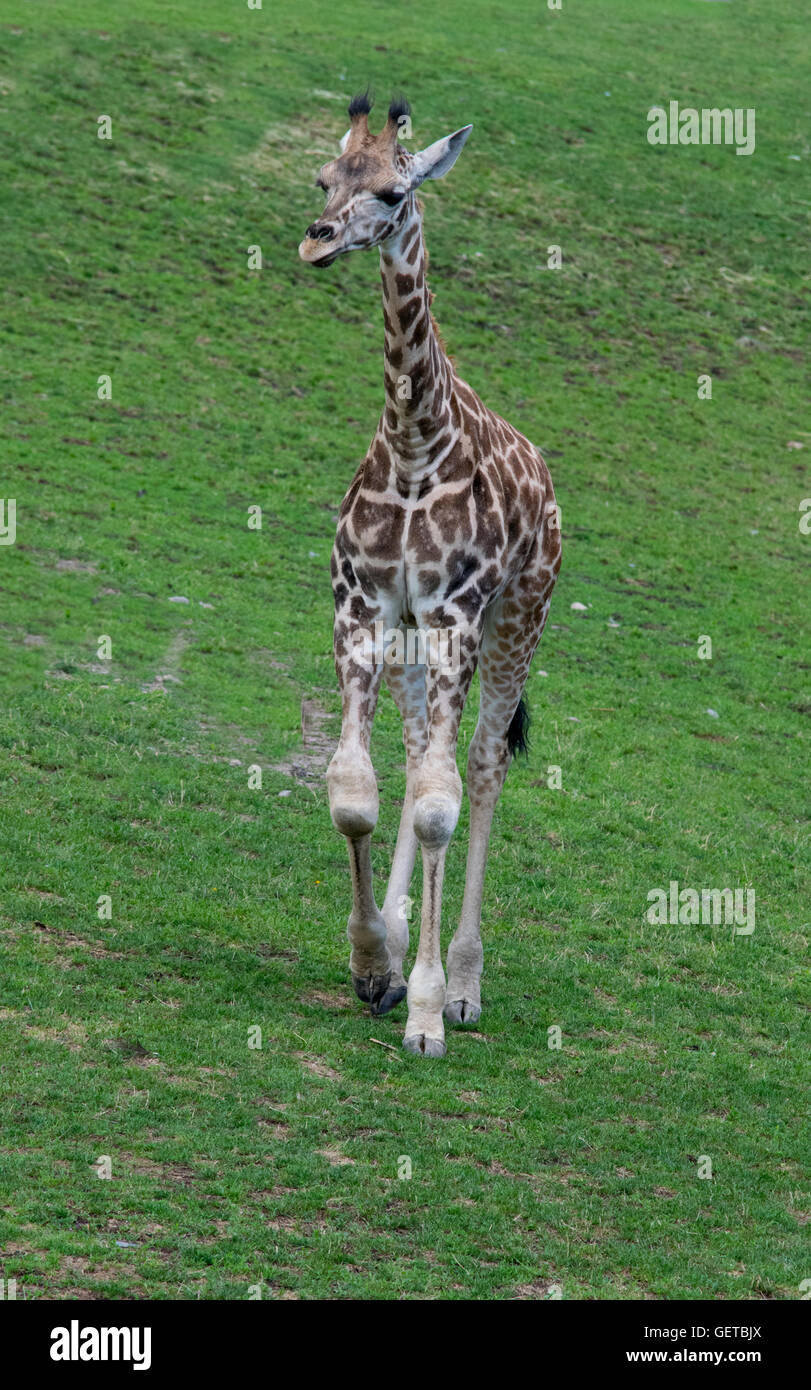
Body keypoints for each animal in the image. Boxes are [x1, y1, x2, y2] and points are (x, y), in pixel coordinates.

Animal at [299, 94, 561, 1057]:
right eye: (324, 179)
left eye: (392, 190)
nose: (316, 240)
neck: (415, 447)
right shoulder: (363, 606)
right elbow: (357, 792)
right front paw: (374, 960)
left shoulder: (455, 616)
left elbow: (444, 802)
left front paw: (423, 1008)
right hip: (418, 639)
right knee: (419, 762)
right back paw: (410, 932)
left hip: (518, 619)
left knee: (478, 768)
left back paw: (465, 984)